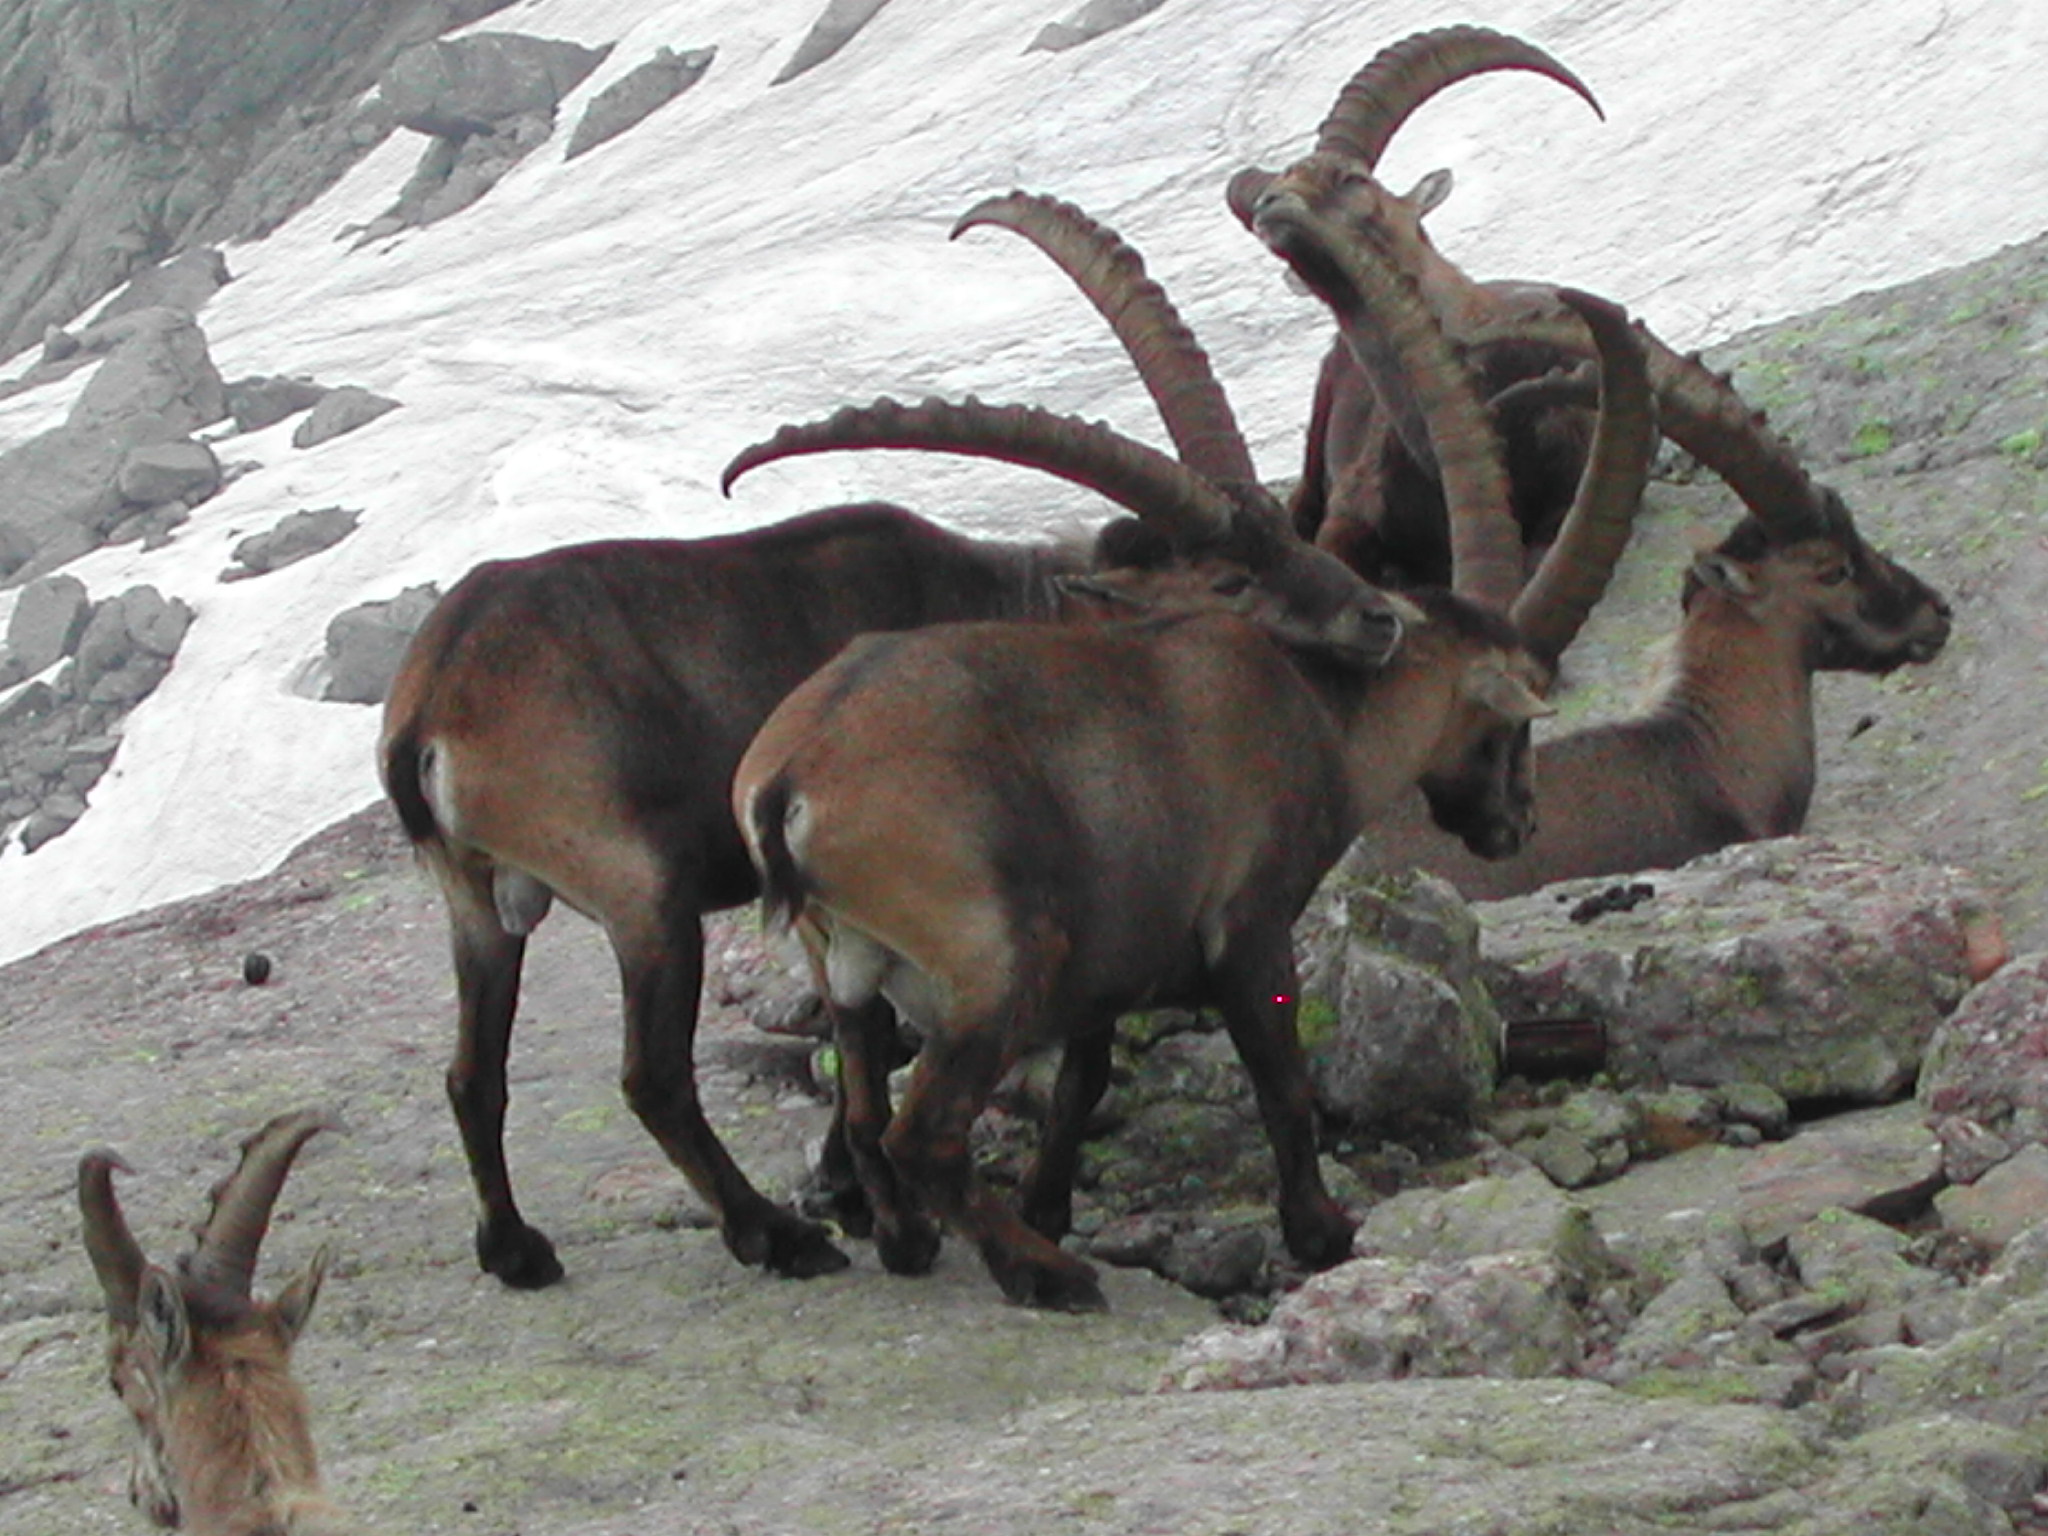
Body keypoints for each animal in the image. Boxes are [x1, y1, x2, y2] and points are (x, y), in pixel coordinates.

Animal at [379, 192, 1410, 1291]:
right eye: (1228, 578)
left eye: (1281, 524)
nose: (1377, 618)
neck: (1017, 602)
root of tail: (433, 702)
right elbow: (878, 1036)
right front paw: (862, 1202)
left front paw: (859, 1193)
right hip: (640, 892)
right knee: (652, 1077)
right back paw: (772, 1236)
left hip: (475, 904)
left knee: (471, 1073)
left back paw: (516, 1248)